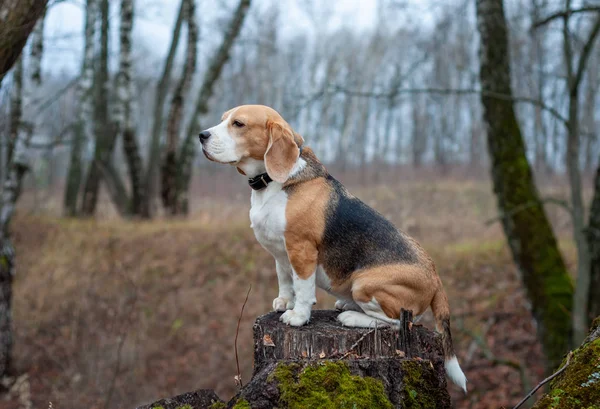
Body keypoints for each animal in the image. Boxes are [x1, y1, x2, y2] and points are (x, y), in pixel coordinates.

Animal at [199, 103, 466, 390]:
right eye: (223, 119)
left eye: (238, 124)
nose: (201, 136)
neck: (272, 182)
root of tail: (435, 277)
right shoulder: (281, 252)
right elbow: (285, 279)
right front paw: (285, 301)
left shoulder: (301, 250)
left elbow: (303, 288)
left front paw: (298, 315)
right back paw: (347, 306)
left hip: (365, 284)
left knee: (399, 323)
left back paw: (352, 317)